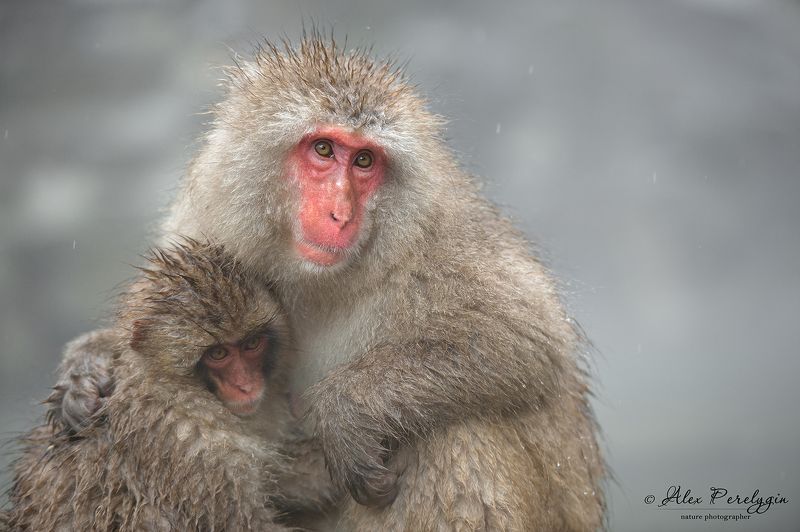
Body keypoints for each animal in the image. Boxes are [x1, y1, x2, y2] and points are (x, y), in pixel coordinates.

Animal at [7, 239, 338, 531]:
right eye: (218, 354)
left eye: (252, 344)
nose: (247, 386)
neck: (176, 387)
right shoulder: (193, 447)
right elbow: (244, 525)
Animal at [45, 34, 605, 531]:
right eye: (322, 149)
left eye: (364, 161)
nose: (340, 214)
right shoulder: (208, 225)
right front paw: (90, 363)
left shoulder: (440, 237)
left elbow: (525, 338)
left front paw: (346, 413)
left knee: (456, 429)